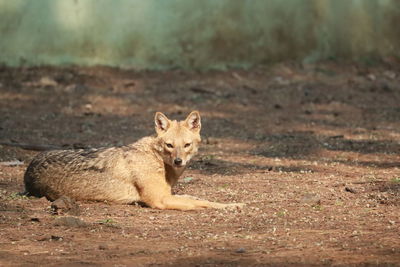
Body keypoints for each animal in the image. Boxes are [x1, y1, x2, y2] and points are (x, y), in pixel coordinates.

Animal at [25, 111, 245, 211]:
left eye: (186, 145)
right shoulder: (160, 200)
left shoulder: (169, 194)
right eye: (169, 145)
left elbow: (196, 198)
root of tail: (28, 169)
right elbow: (199, 203)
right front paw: (229, 206)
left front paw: (233, 203)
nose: (178, 161)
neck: (157, 160)